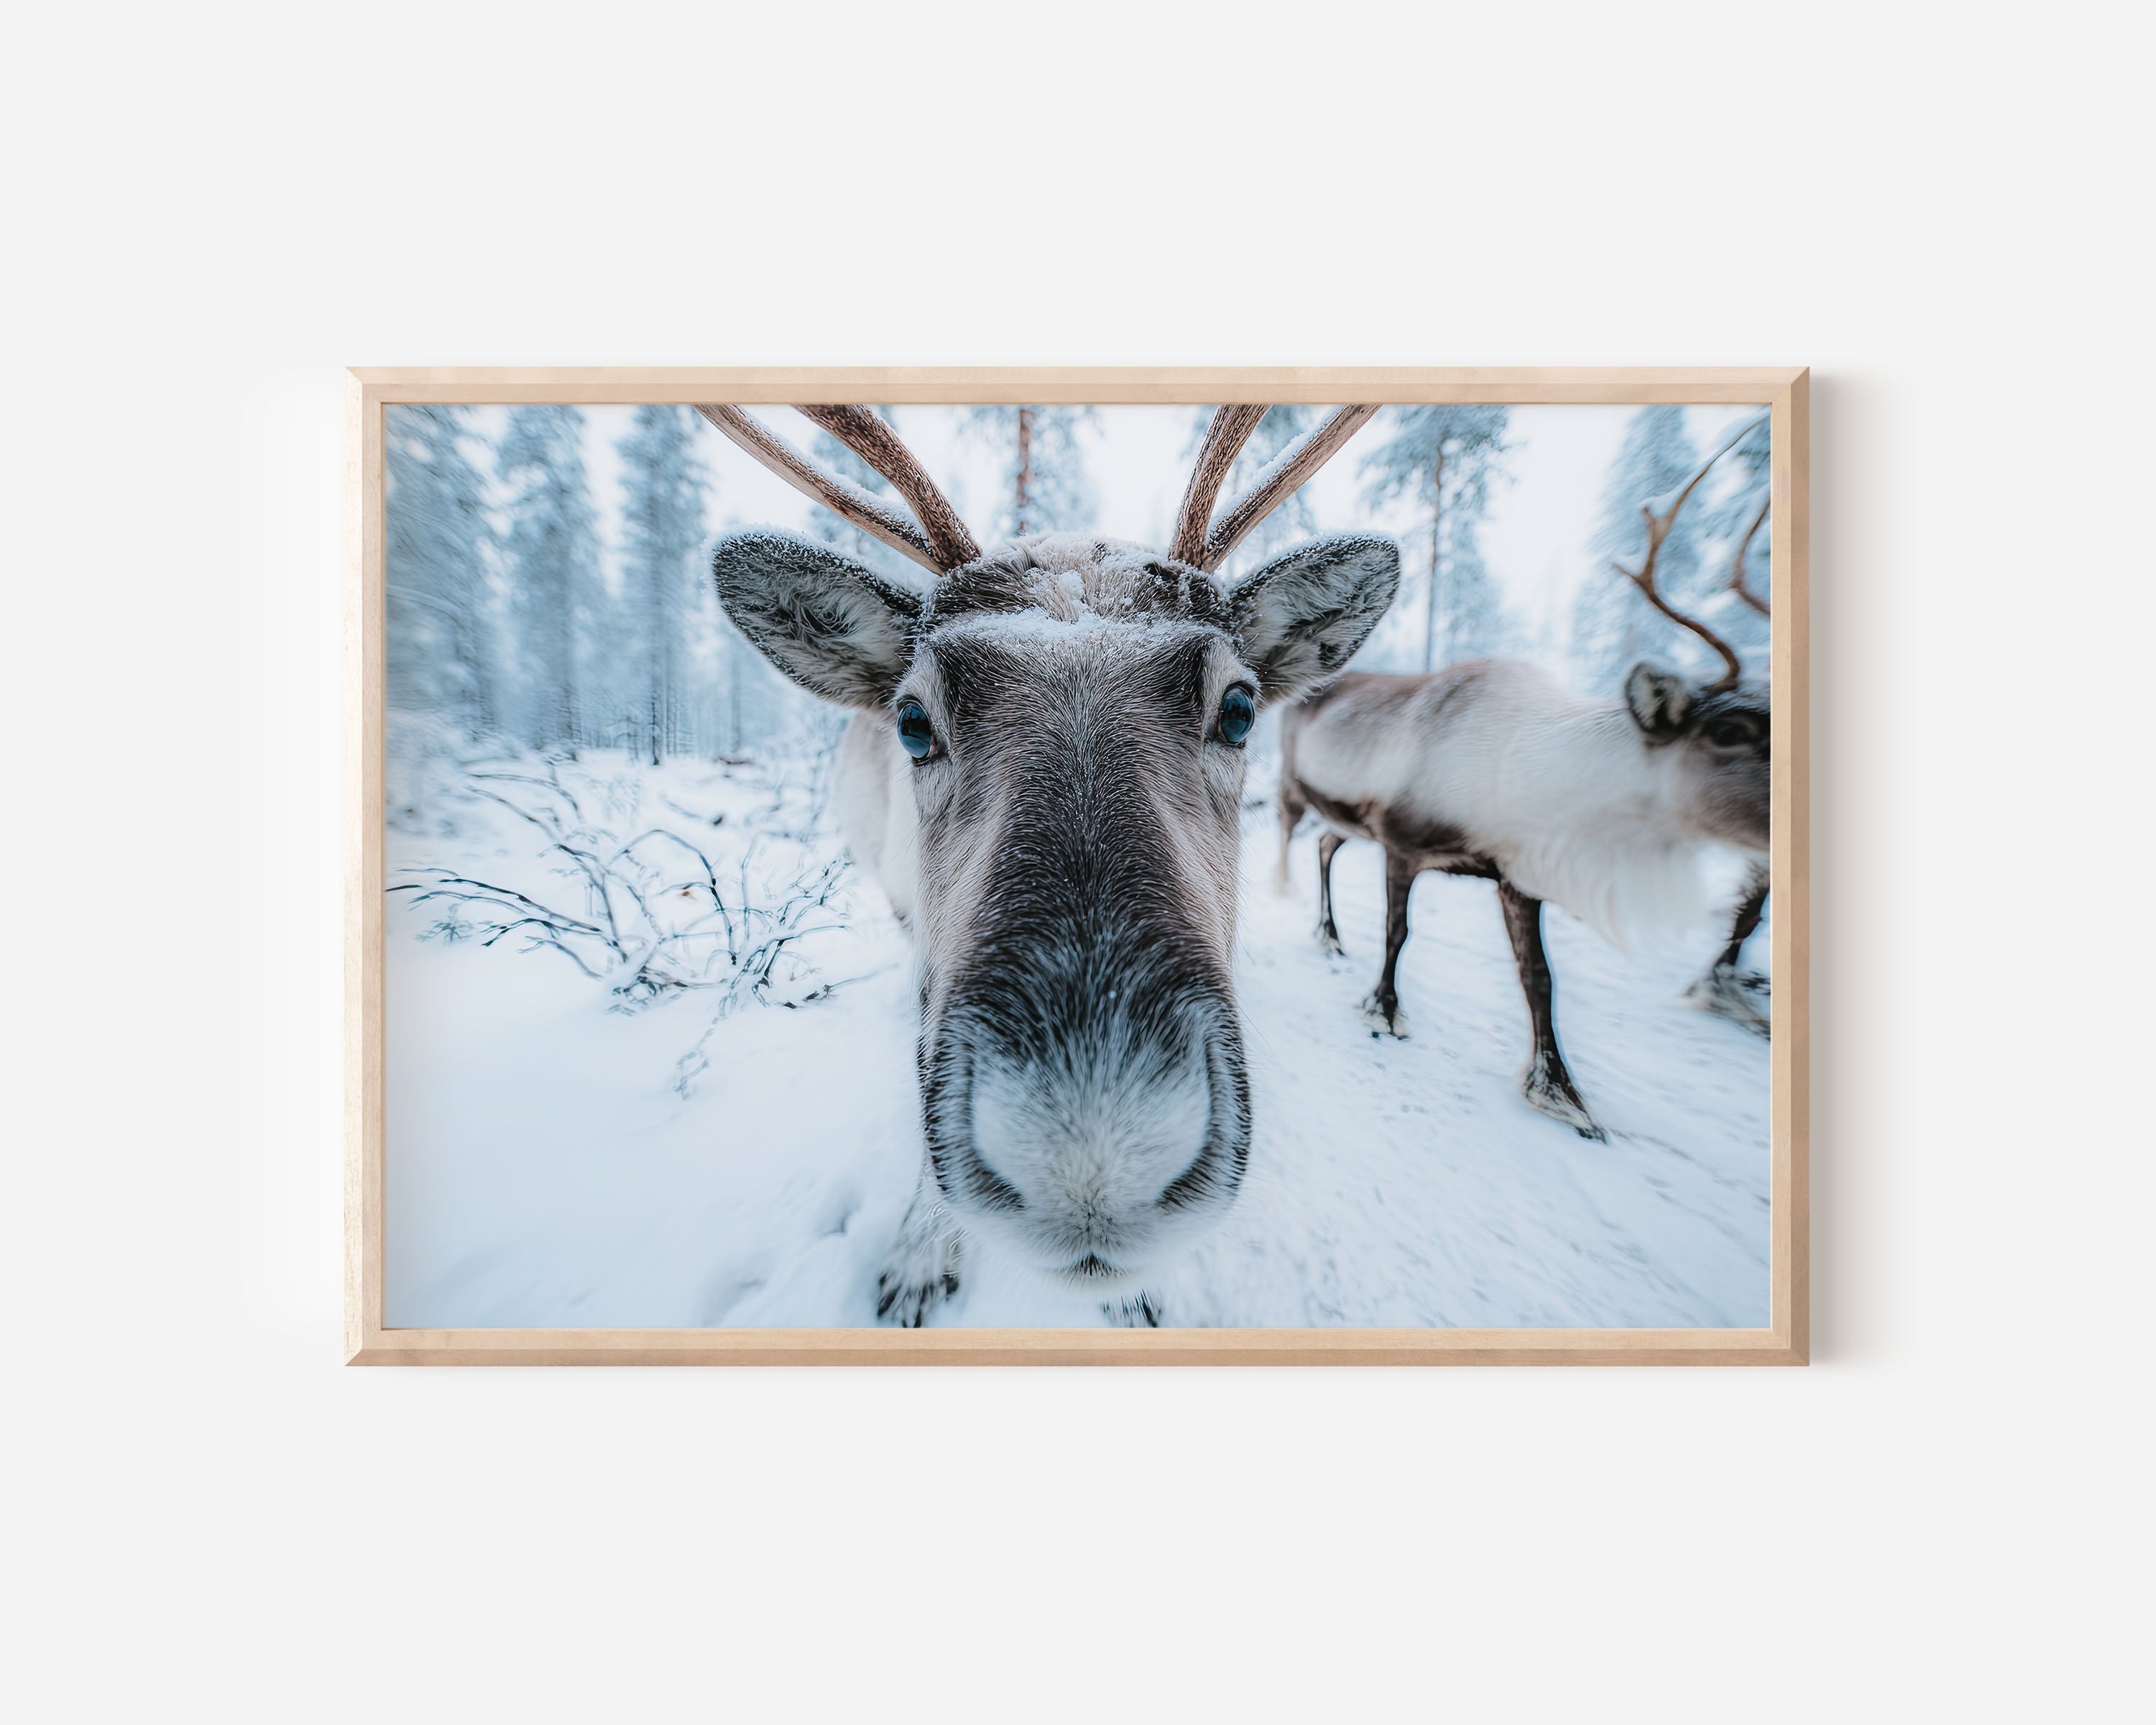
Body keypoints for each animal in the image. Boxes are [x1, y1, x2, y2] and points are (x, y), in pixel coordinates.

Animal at [1274, 418, 1771, 1140]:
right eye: (1728, 731)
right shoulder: (1402, 841)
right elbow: (1399, 933)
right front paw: (1384, 1010)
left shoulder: (1516, 875)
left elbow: (1539, 978)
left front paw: (1561, 1091)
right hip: (1298, 789)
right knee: (1296, 838)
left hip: (1346, 817)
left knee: (1324, 843)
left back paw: (1332, 937)